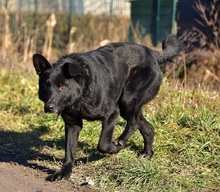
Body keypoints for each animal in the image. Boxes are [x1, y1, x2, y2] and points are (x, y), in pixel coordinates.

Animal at [33, 35, 182, 182]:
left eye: (63, 87)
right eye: (46, 86)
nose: (49, 107)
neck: (81, 96)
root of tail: (152, 53)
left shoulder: (111, 113)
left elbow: (103, 144)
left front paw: (114, 148)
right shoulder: (72, 124)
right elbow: (69, 151)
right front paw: (64, 172)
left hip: (127, 100)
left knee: (134, 123)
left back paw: (120, 141)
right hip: (128, 106)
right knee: (148, 127)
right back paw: (147, 154)